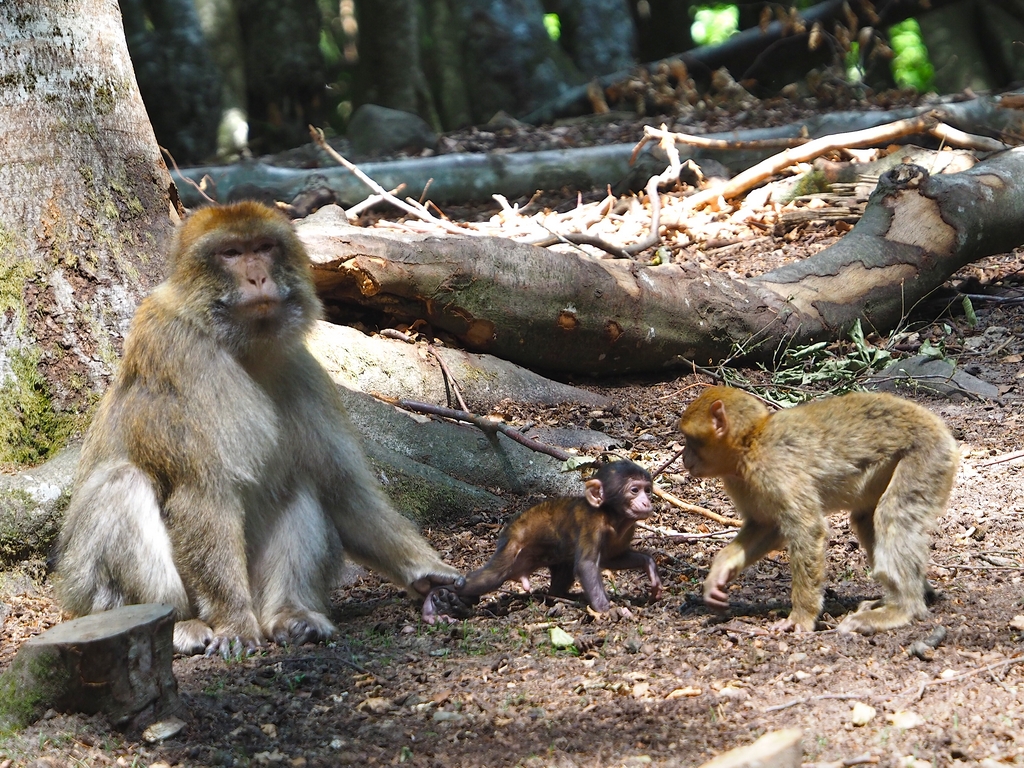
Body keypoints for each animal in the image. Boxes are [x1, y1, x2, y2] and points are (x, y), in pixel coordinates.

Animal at [52, 201, 460, 659]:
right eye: (231, 253)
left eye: (263, 247)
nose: (257, 277)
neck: (246, 348)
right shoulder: (185, 358)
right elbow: (203, 494)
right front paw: (235, 623)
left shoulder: (302, 372)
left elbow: (343, 493)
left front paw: (428, 573)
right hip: (89, 590)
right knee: (122, 484)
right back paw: (178, 624)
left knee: (301, 484)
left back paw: (290, 615)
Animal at [423, 462, 663, 626]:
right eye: (634, 490)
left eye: (647, 490)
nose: (646, 502)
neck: (612, 517)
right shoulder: (592, 523)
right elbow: (586, 565)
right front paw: (607, 610)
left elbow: (611, 559)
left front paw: (650, 567)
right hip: (512, 548)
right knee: (485, 580)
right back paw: (436, 601)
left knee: (564, 567)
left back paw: (560, 596)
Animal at [675, 387, 954, 634]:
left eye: (691, 441)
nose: (684, 458)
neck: (750, 443)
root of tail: (939, 426)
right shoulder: (743, 482)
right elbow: (767, 527)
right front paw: (720, 570)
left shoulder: (773, 468)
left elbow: (807, 528)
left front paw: (801, 616)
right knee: (866, 519)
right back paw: (910, 596)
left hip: (928, 455)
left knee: (892, 514)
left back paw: (903, 608)